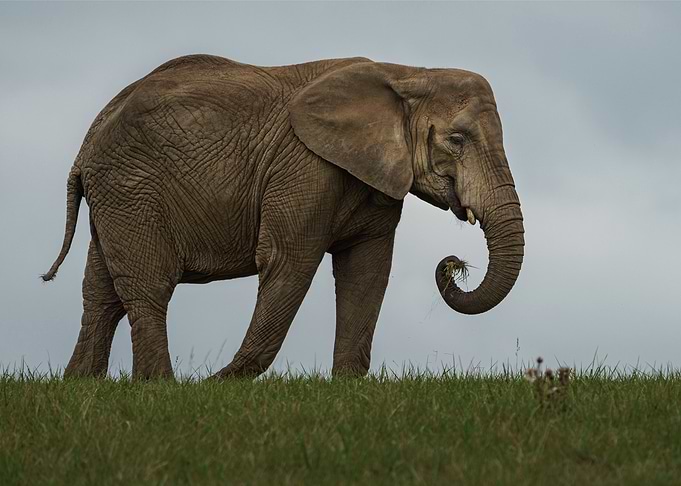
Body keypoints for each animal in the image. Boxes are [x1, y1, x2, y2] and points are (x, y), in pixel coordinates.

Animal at [43, 55, 524, 380]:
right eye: (457, 140)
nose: (454, 262)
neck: (407, 73)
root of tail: (89, 139)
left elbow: (367, 271)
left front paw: (347, 389)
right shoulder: (304, 167)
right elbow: (289, 261)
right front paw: (220, 385)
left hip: (116, 195)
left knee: (101, 292)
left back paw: (81, 385)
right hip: (131, 188)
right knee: (149, 285)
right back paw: (161, 388)